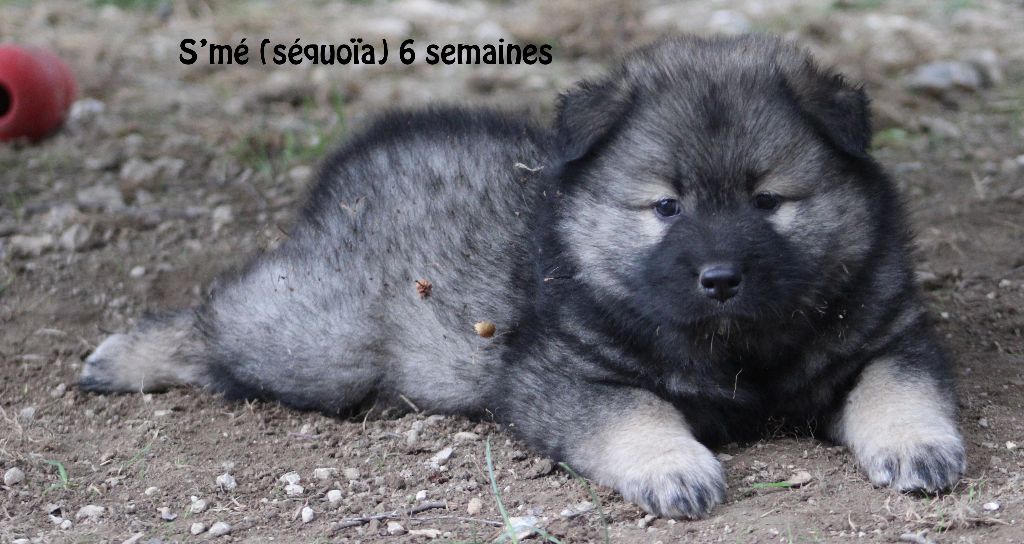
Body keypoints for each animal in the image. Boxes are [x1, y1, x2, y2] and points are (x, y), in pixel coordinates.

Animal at [81, 34, 965, 519]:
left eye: (769, 200)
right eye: (666, 206)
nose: (720, 276)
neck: (736, 346)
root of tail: (352, 165)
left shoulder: (887, 336)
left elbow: (898, 385)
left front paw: (917, 443)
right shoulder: (562, 373)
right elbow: (636, 412)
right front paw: (674, 466)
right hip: (320, 343)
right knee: (218, 316)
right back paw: (125, 355)